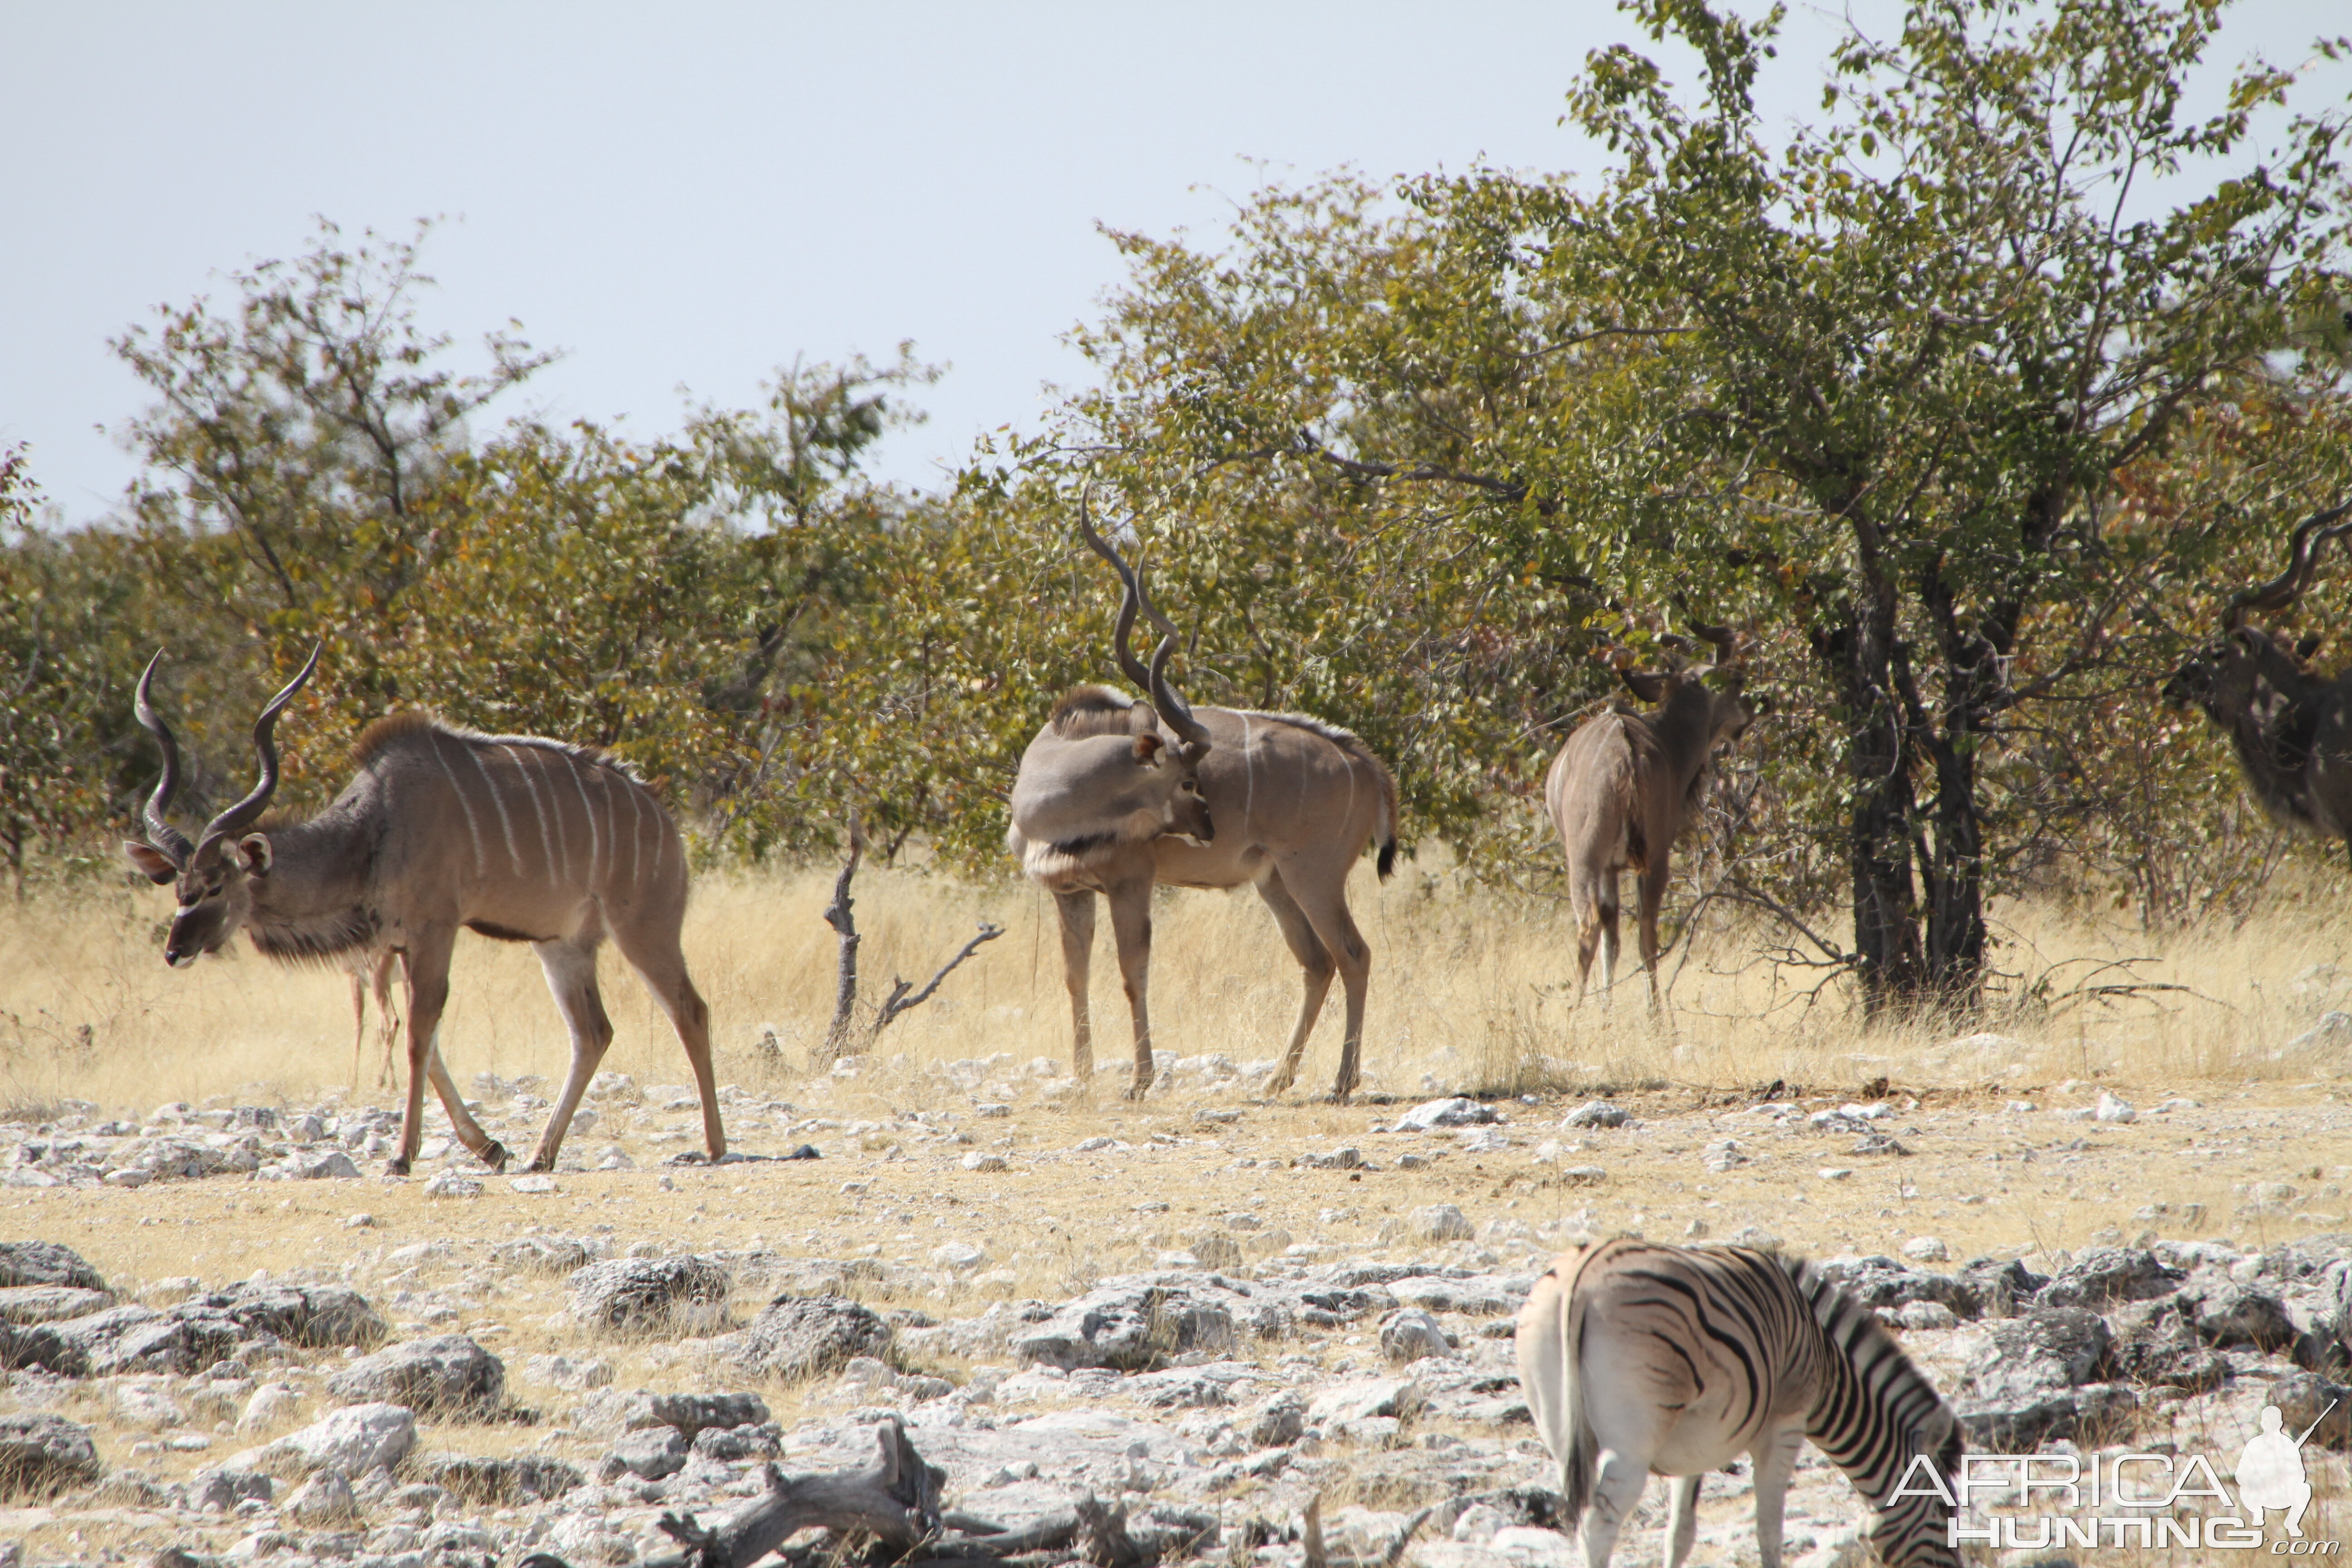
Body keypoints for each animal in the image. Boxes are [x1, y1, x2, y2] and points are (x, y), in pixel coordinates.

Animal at [119, 649, 720, 1175]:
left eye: (217, 886)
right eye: (180, 888)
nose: (176, 951)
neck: (374, 827)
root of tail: (667, 824)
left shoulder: (436, 931)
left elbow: (416, 1037)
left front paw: (403, 1156)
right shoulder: (402, 944)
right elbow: (424, 1041)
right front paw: (491, 1149)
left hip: (644, 930)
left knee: (690, 1009)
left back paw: (714, 1146)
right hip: (561, 945)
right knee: (593, 1032)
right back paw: (540, 1155)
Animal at [1006, 517, 1392, 1105]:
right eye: (1189, 781)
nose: (1209, 830)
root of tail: (1364, 764)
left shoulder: (1131, 881)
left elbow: (1132, 972)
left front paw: (1140, 1081)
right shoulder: (1069, 890)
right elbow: (1076, 976)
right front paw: (1081, 1079)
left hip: (1315, 876)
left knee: (1354, 954)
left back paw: (1342, 1082)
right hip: (1275, 882)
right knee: (1317, 961)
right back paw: (1278, 1079)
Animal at [1505, 1241, 1966, 1568]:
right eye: (1945, 1511)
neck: (1823, 1359)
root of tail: (1582, 1276)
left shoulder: (1692, 1448)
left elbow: (1680, 1533)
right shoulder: (1786, 1426)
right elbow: (1769, 1527)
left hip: (1560, 1429)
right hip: (1631, 1445)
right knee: (1597, 1526)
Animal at [1552, 625, 1759, 1006]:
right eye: (1737, 679)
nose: (1758, 708)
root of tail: (1625, 755)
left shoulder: (1612, 866)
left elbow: (1612, 934)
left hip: (1591, 859)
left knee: (1598, 926)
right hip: (1644, 857)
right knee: (1638, 928)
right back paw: (1653, 1014)